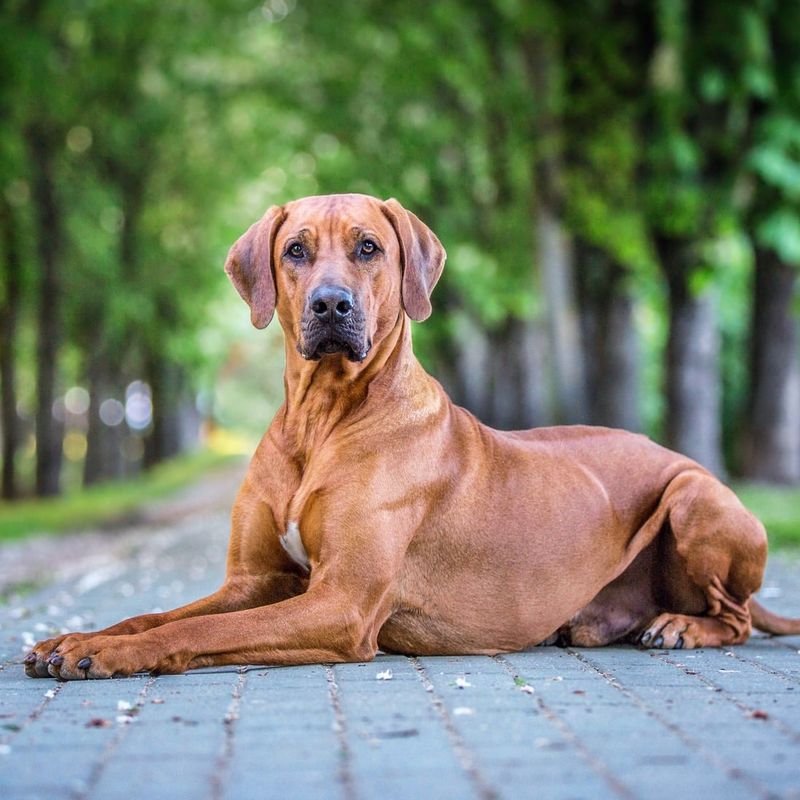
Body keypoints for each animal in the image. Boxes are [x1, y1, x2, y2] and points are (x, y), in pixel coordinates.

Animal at [25, 194, 800, 680]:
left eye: (369, 247)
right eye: (296, 250)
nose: (330, 304)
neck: (323, 420)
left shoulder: (341, 604)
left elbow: (197, 630)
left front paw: (113, 655)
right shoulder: (255, 581)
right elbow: (155, 611)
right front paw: (76, 637)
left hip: (695, 496)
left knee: (735, 617)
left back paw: (682, 627)